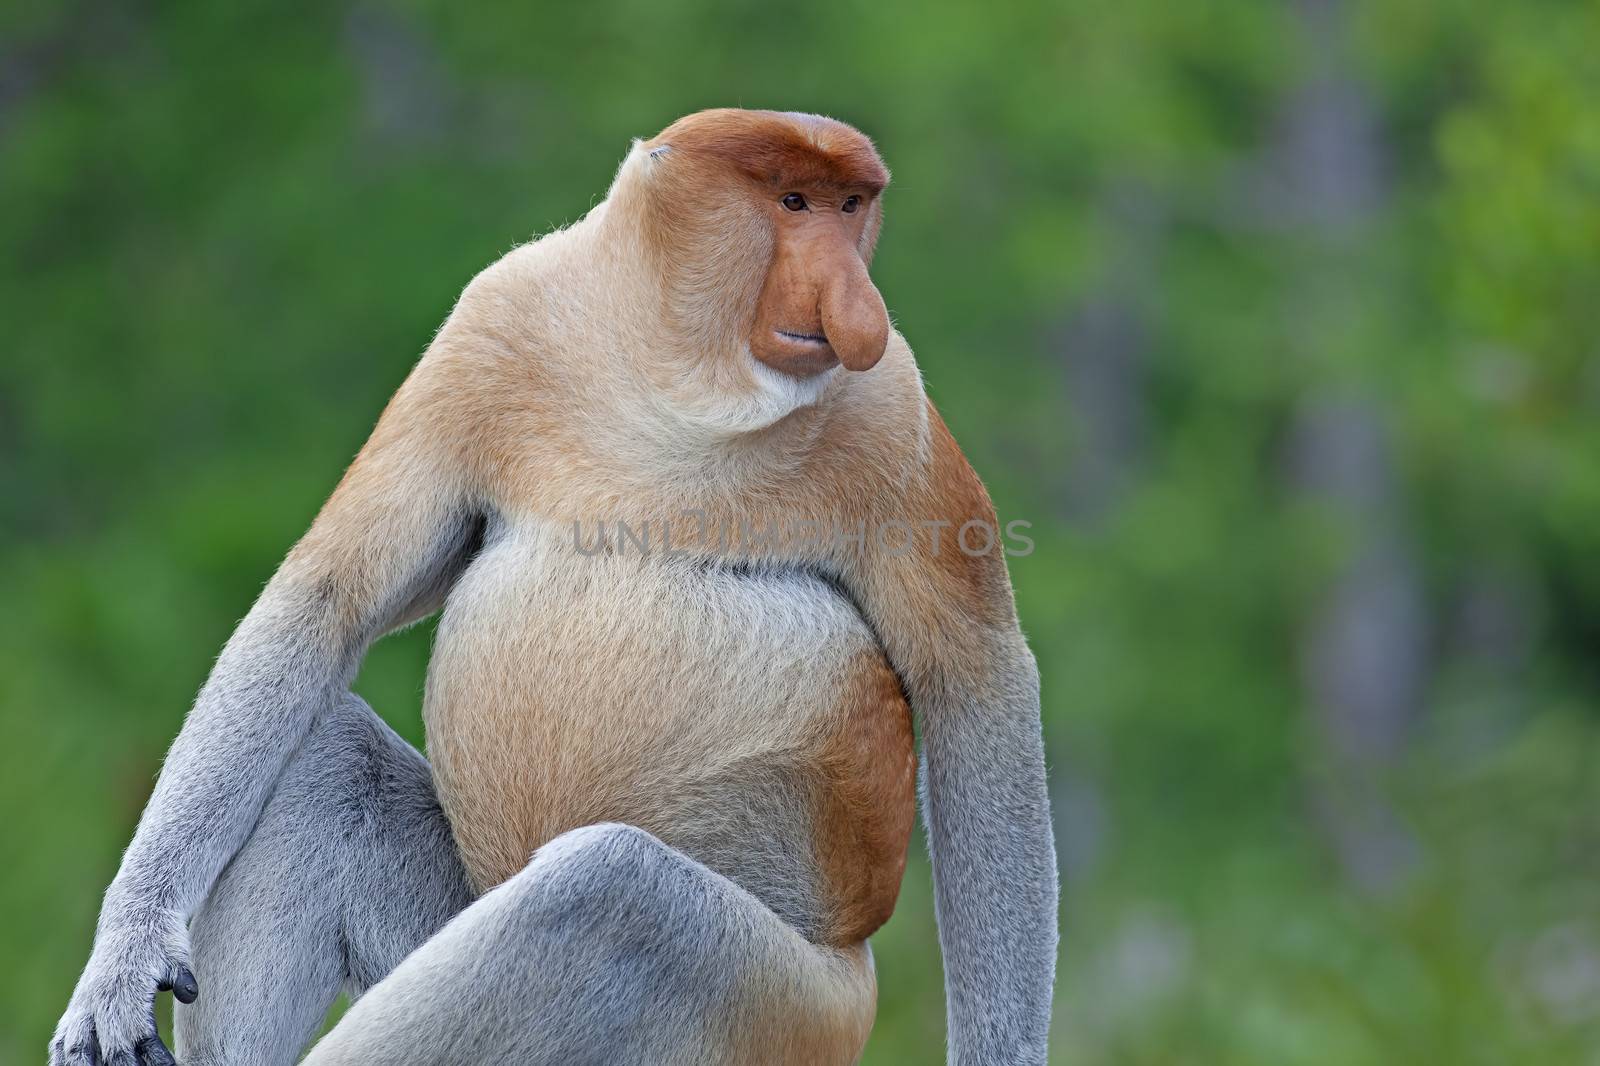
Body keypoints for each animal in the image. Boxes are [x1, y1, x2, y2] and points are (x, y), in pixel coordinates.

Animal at [50, 109, 1056, 1062]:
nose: (854, 299)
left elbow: (975, 682)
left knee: (605, 895)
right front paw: (123, 963)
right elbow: (325, 603)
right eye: (795, 202)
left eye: (852, 207)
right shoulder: (490, 328)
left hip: (787, 1009)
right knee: (326, 757)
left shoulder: (893, 413)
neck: (680, 372)